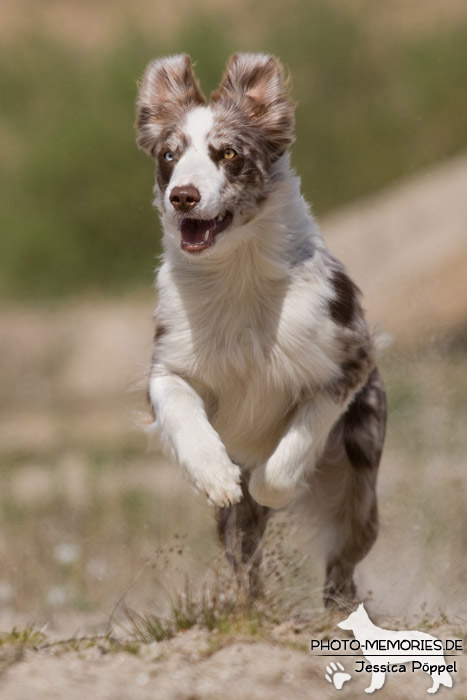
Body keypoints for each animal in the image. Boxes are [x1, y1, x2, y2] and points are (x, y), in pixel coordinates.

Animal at [134, 52, 388, 604]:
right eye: (169, 156)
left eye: (227, 153)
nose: (183, 196)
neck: (238, 276)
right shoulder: (169, 363)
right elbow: (183, 412)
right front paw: (216, 475)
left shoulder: (346, 359)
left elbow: (289, 453)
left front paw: (271, 483)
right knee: (243, 556)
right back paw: (249, 606)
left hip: (361, 483)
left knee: (343, 561)